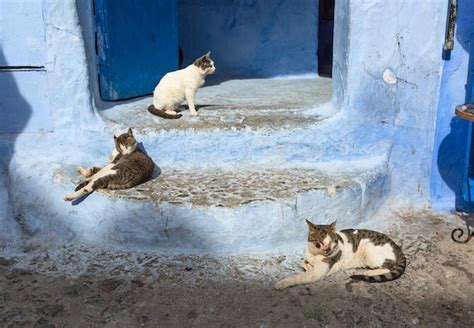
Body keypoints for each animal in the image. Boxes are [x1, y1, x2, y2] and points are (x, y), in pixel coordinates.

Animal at [274, 220, 408, 290]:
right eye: (319, 244)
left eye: (332, 242)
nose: (327, 250)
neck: (315, 254)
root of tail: (397, 247)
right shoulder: (309, 259)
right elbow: (303, 262)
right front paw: (308, 266)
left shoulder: (317, 274)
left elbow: (297, 277)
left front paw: (281, 283)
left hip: (369, 249)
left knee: (389, 267)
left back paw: (369, 272)